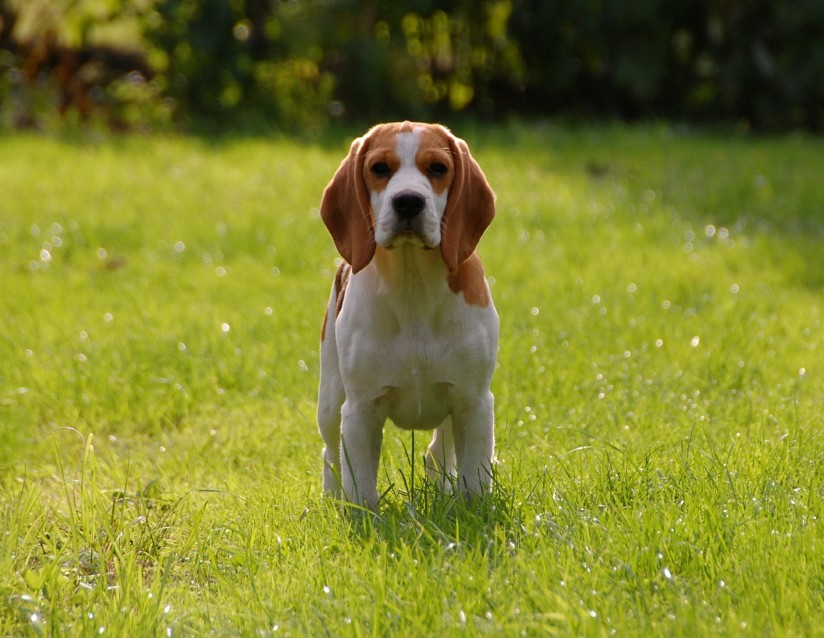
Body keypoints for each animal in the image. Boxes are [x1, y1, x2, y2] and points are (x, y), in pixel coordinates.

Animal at [316, 121, 496, 510]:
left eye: (438, 169)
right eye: (379, 168)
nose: (409, 201)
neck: (413, 285)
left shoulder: (474, 403)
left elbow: (474, 479)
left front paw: (473, 512)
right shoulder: (359, 410)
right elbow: (361, 487)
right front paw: (362, 517)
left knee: (437, 452)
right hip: (330, 402)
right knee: (330, 455)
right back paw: (331, 500)